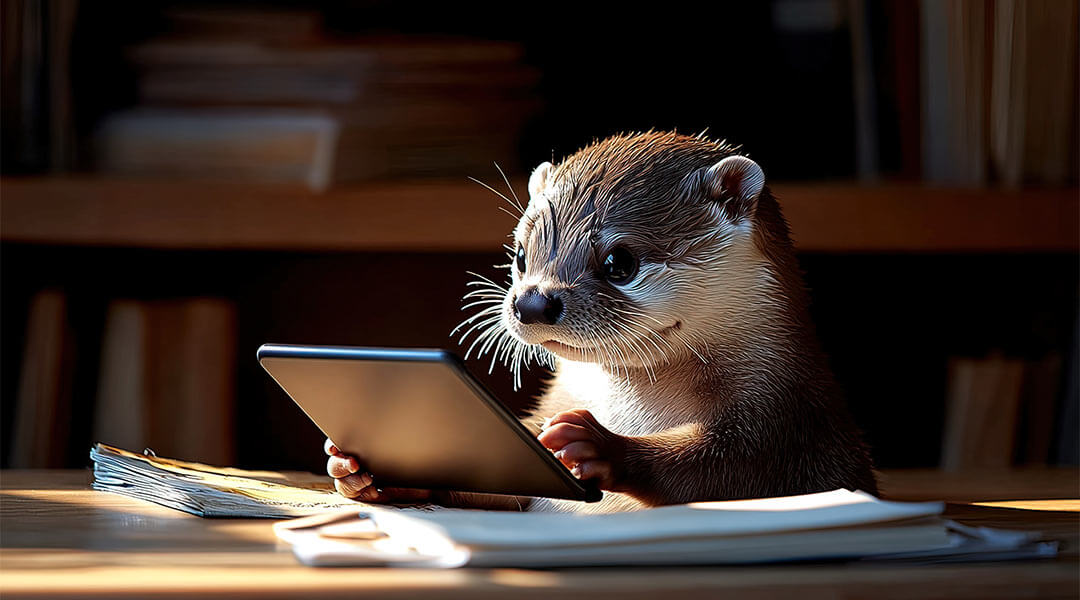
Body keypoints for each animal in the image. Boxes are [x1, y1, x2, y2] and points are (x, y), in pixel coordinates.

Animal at [327, 131, 877, 512]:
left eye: (619, 262)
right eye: (521, 254)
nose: (531, 303)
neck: (632, 411)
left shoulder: (786, 425)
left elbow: (729, 469)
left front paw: (599, 445)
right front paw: (359, 469)